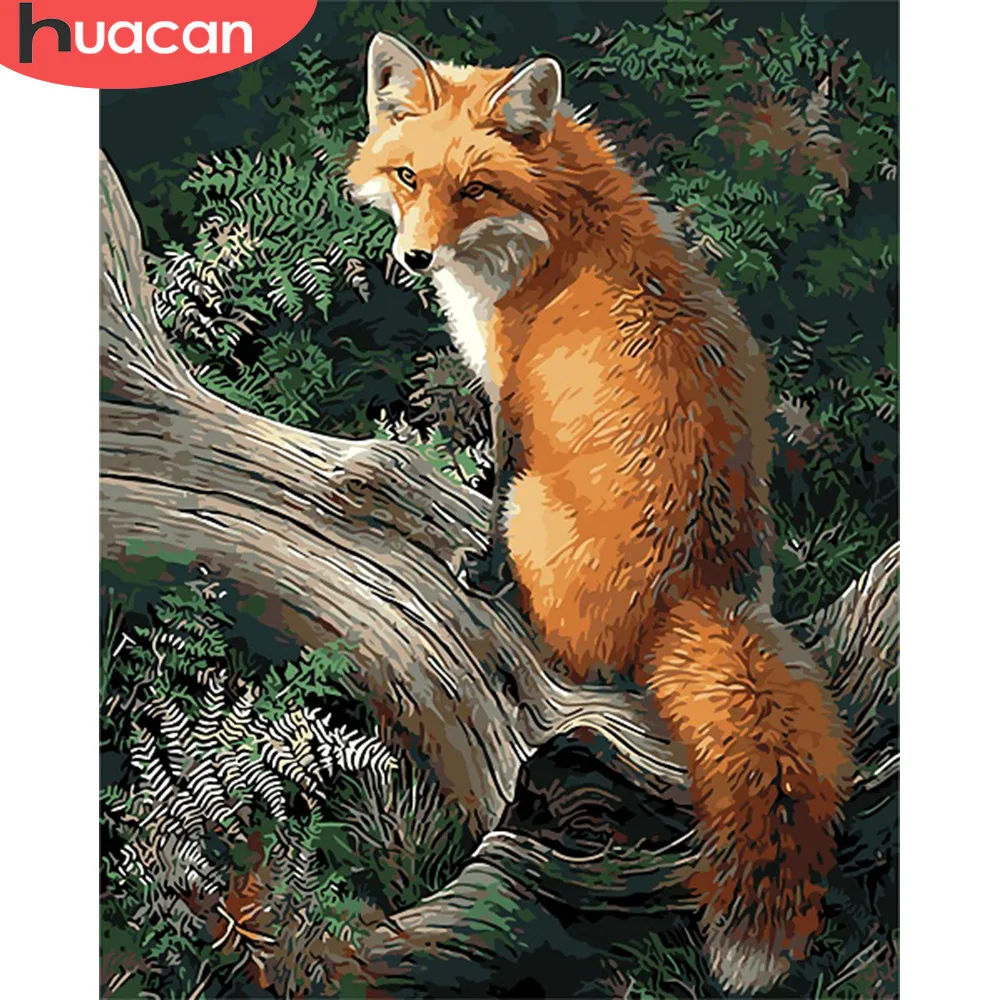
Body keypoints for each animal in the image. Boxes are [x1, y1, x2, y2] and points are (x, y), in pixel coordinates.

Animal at [347, 33, 854, 995]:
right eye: (407, 176)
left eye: (474, 188)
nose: (415, 260)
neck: (560, 225)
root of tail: (696, 593)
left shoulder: (510, 397)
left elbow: (492, 489)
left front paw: (479, 570)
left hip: (542, 515)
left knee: (574, 653)